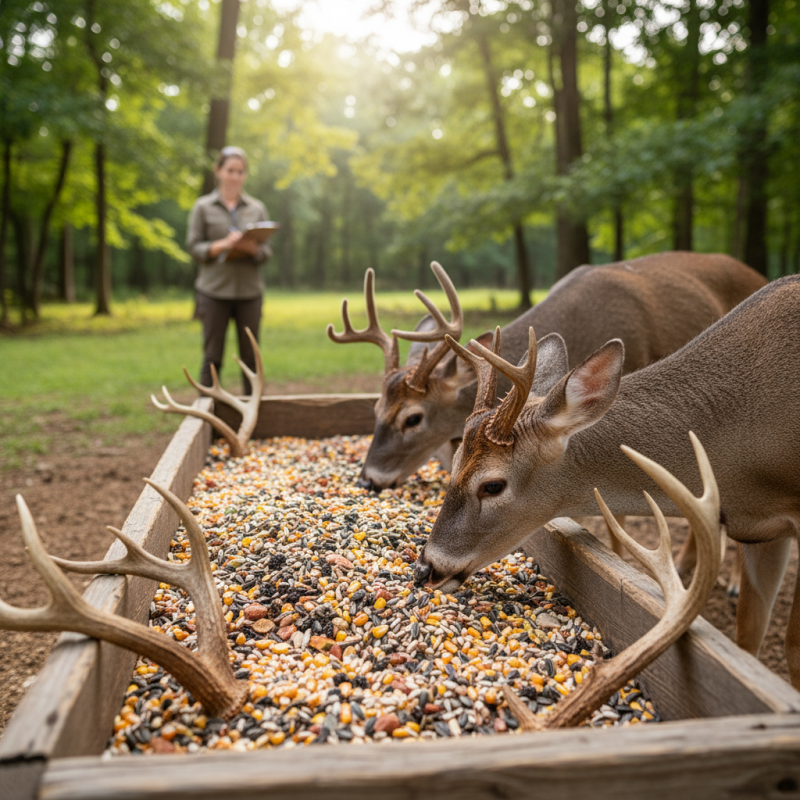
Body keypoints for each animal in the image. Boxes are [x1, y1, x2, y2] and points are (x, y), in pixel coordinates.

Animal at [413, 275, 800, 687]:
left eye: (492, 485)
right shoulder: (760, 531)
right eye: (454, 459)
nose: (425, 568)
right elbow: (748, 638)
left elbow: (792, 647)